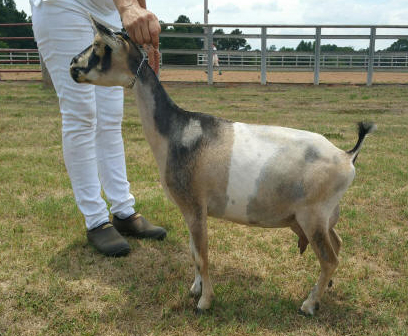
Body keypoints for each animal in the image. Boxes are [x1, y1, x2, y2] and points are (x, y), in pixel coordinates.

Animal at [70, 19, 376, 316]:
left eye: (99, 46)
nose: (72, 65)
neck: (176, 132)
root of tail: (347, 156)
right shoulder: (190, 210)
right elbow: (193, 252)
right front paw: (195, 289)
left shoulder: (195, 205)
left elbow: (202, 254)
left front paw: (205, 302)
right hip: (321, 218)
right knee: (337, 245)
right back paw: (323, 291)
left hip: (312, 216)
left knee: (330, 258)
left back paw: (309, 304)